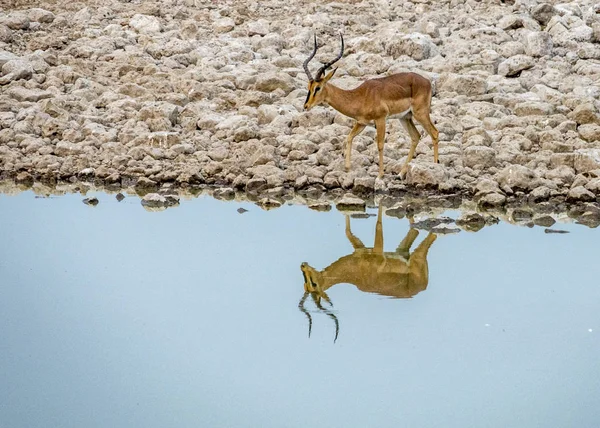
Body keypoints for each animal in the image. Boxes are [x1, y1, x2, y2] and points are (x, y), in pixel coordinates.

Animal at [298, 206, 436, 342]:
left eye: (314, 284)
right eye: (305, 285)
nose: (303, 265)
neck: (355, 272)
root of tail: (423, 285)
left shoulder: (377, 252)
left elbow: (378, 224)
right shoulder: (360, 248)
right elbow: (347, 230)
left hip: (417, 256)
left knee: (432, 235)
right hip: (403, 251)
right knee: (415, 231)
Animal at [302, 33, 438, 179]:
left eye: (318, 88)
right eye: (308, 87)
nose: (306, 106)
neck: (360, 96)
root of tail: (427, 81)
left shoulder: (380, 120)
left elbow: (380, 144)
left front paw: (380, 175)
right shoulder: (362, 122)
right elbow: (349, 137)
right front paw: (347, 168)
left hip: (420, 113)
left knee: (434, 133)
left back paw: (435, 165)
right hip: (405, 117)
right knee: (416, 136)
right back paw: (400, 174)